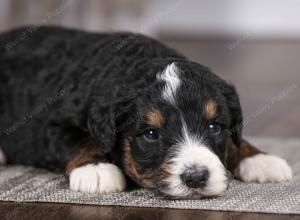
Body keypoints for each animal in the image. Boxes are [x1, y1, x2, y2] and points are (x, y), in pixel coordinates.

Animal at [0, 25, 290, 198]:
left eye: (213, 127)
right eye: (151, 134)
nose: (196, 177)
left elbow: (234, 140)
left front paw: (259, 158)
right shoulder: (50, 124)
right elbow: (78, 139)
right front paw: (96, 168)